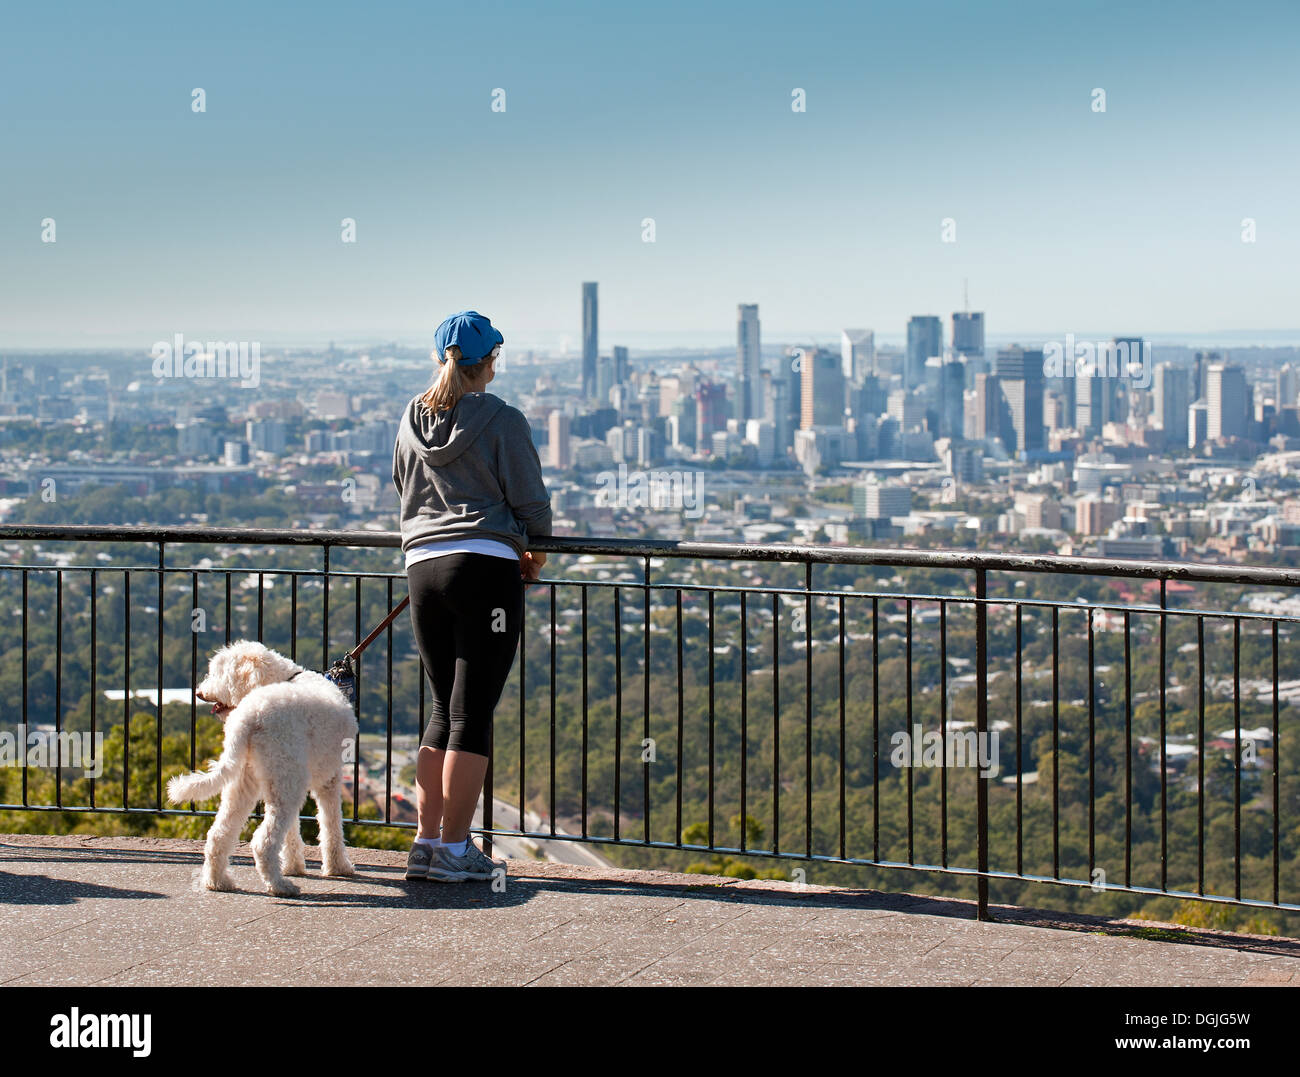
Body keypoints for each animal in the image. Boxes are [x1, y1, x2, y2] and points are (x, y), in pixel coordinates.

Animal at [170, 642, 361, 894]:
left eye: (220, 673)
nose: (199, 693)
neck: (286, 677)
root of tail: (250, 717)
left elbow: (293, 831)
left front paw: (293, 866)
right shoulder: (328, 779)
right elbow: (331, 823)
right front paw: (337, 866)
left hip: (249, 783)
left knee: (219, 833)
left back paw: (218, 882)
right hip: (285, 783)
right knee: (263, 841)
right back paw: (280, 885)